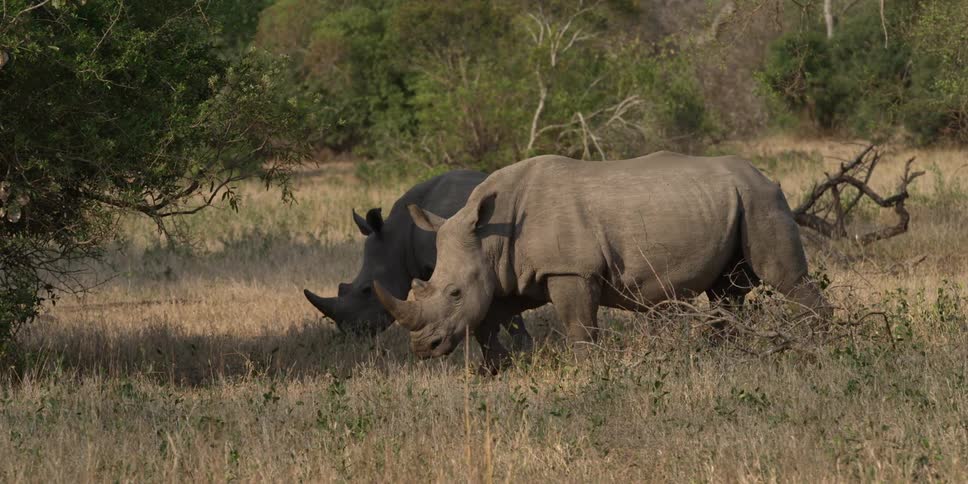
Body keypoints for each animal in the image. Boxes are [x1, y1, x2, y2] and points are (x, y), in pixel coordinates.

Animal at [374, 152, 832, 370]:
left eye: (454, 292)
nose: (423, 348)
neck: (490, 238)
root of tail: (764, 175)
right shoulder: (511, 274)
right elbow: (488, 319)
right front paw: (493, 370)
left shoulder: (570, 268)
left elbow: (578, 325)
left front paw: (586, 369)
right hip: (735, 202)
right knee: (726, 292)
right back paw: (725, 353)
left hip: (761, 201)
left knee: (785, 279)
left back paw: (818, 347)